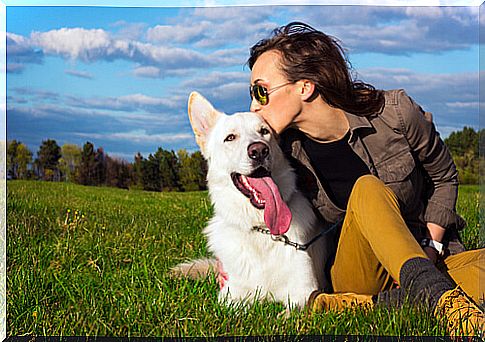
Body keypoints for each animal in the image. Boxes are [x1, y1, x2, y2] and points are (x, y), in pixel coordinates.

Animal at [173, 92, 328, 308]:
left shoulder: (305, 294)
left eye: (264, 132)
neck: (260, 227)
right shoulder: (230, 296)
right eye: (230, 137)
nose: (259, 150)